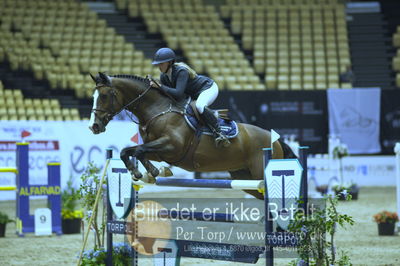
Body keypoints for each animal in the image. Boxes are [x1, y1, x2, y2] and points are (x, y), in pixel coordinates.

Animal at [89, 72, 296, 200]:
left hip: (259, 174)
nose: (94, 126)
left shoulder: (172, 147)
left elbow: (139, 151)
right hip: (245, 178)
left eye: (105, 96)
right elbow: (128, 151)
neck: (157, 109)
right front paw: (143, 172)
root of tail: (275, 139)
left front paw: (152, 172)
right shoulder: (160, 151)